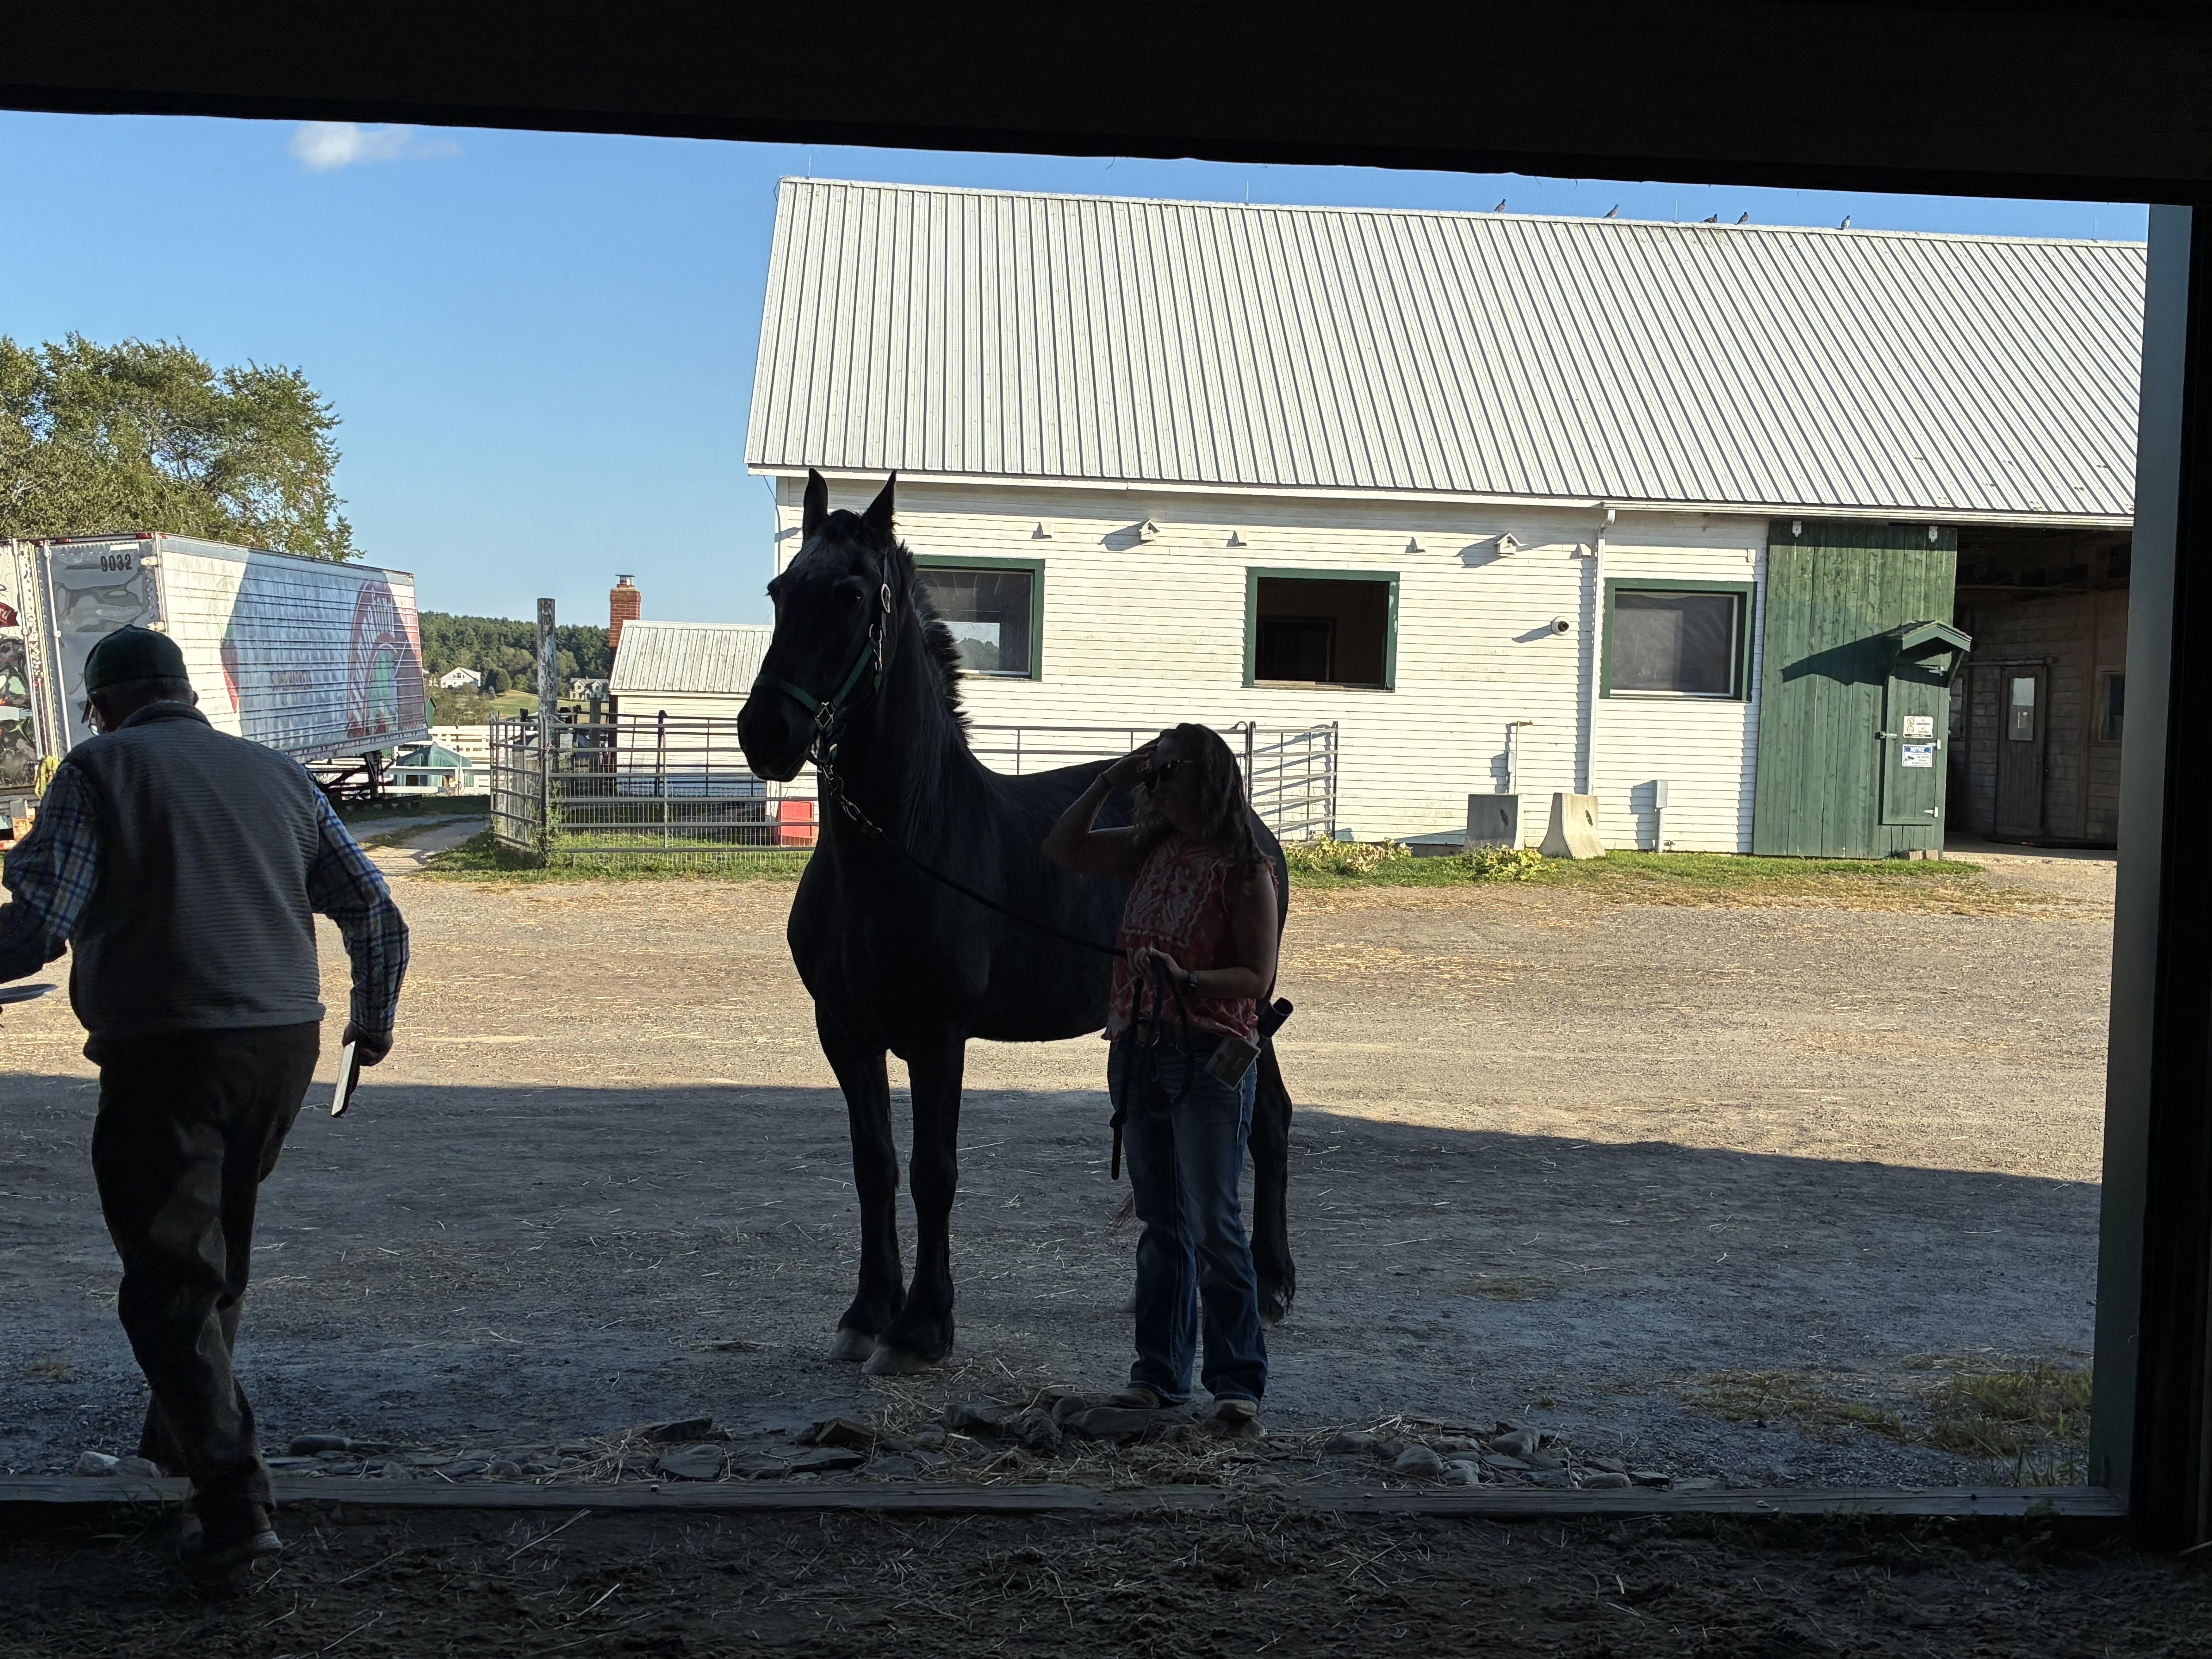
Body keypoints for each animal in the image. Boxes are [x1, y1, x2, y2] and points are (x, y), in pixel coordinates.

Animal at [737, 470, 1298, 1375]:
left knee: (1269, 1122)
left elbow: (933, 1169)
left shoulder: (939, 1036)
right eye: (781, 591)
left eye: (851, 595)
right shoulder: (845, 1032)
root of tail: (1250, 825)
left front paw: (922, 1326)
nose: (765, 733)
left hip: (1243, 1007)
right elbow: (874, 1165)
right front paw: (867, 1312)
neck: (906, 842)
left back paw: (1275, 1281)